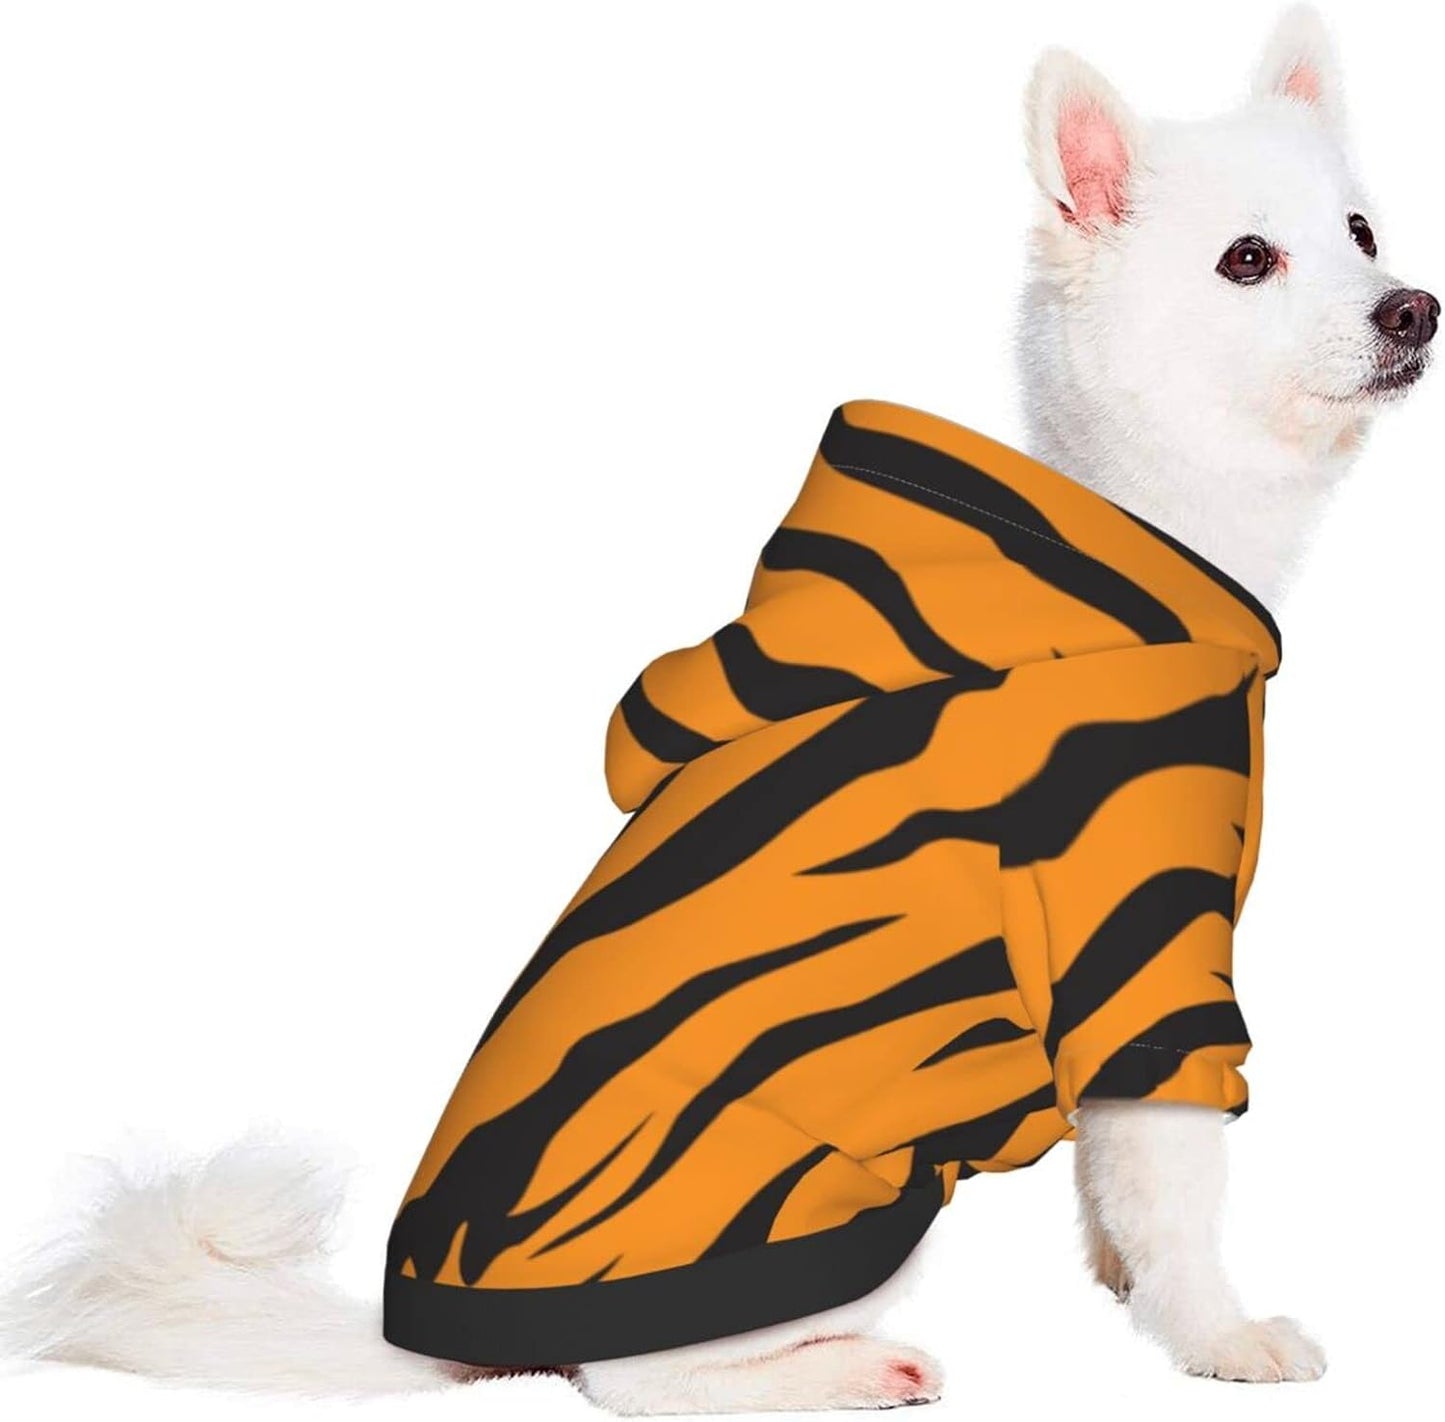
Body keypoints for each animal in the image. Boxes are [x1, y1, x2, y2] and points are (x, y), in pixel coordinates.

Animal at [382, 397, 1280, 1369]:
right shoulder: (1142, 954)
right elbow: (1174, 1192)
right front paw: (1222, 1338)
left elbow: (1106, 1173)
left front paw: (1122, 1281)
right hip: (865, 1206)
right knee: (643, 1374)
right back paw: (859, 1369)